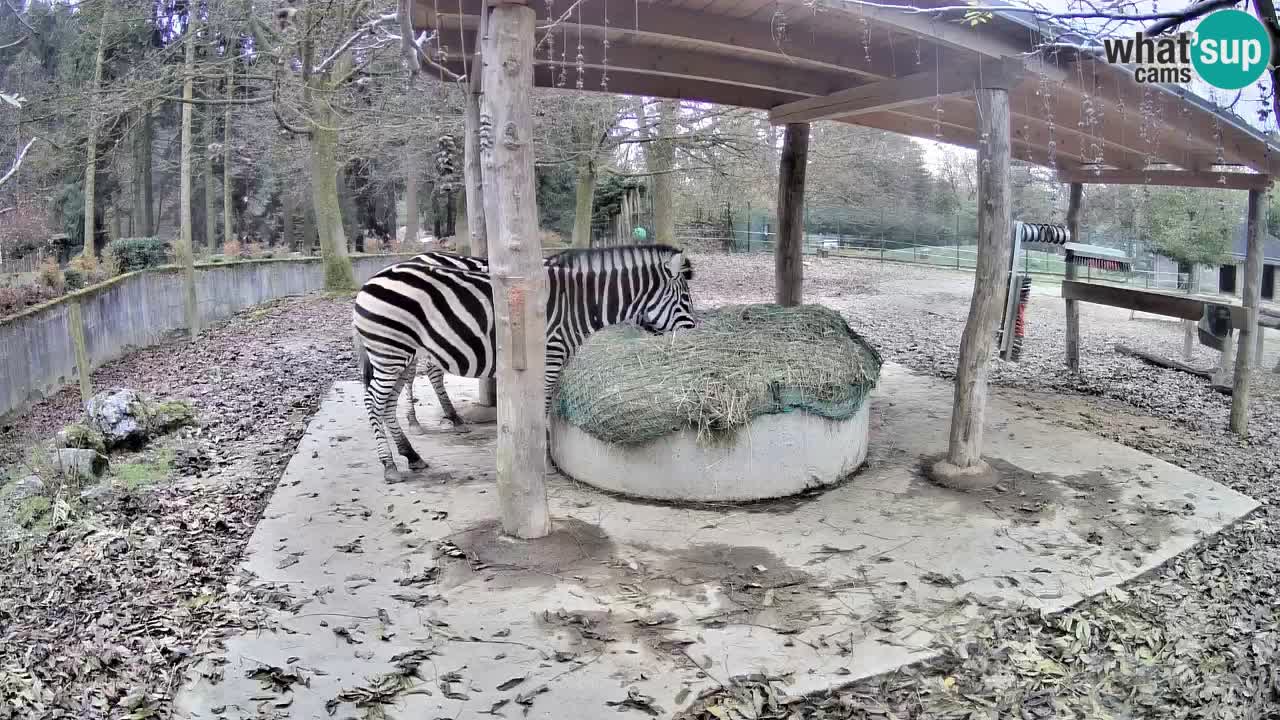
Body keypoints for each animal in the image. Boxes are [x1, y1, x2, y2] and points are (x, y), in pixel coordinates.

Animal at [353, 243, 701, 479]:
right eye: (686, 299)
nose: (695, 335)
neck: (580, 304)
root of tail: (370, 281)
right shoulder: (549, 356)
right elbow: (542, 408)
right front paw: (543, 456)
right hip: (391, 352)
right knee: (373, 402)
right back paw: (390, 465)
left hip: (401, 353)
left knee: (387, 404)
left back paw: (411, 455)